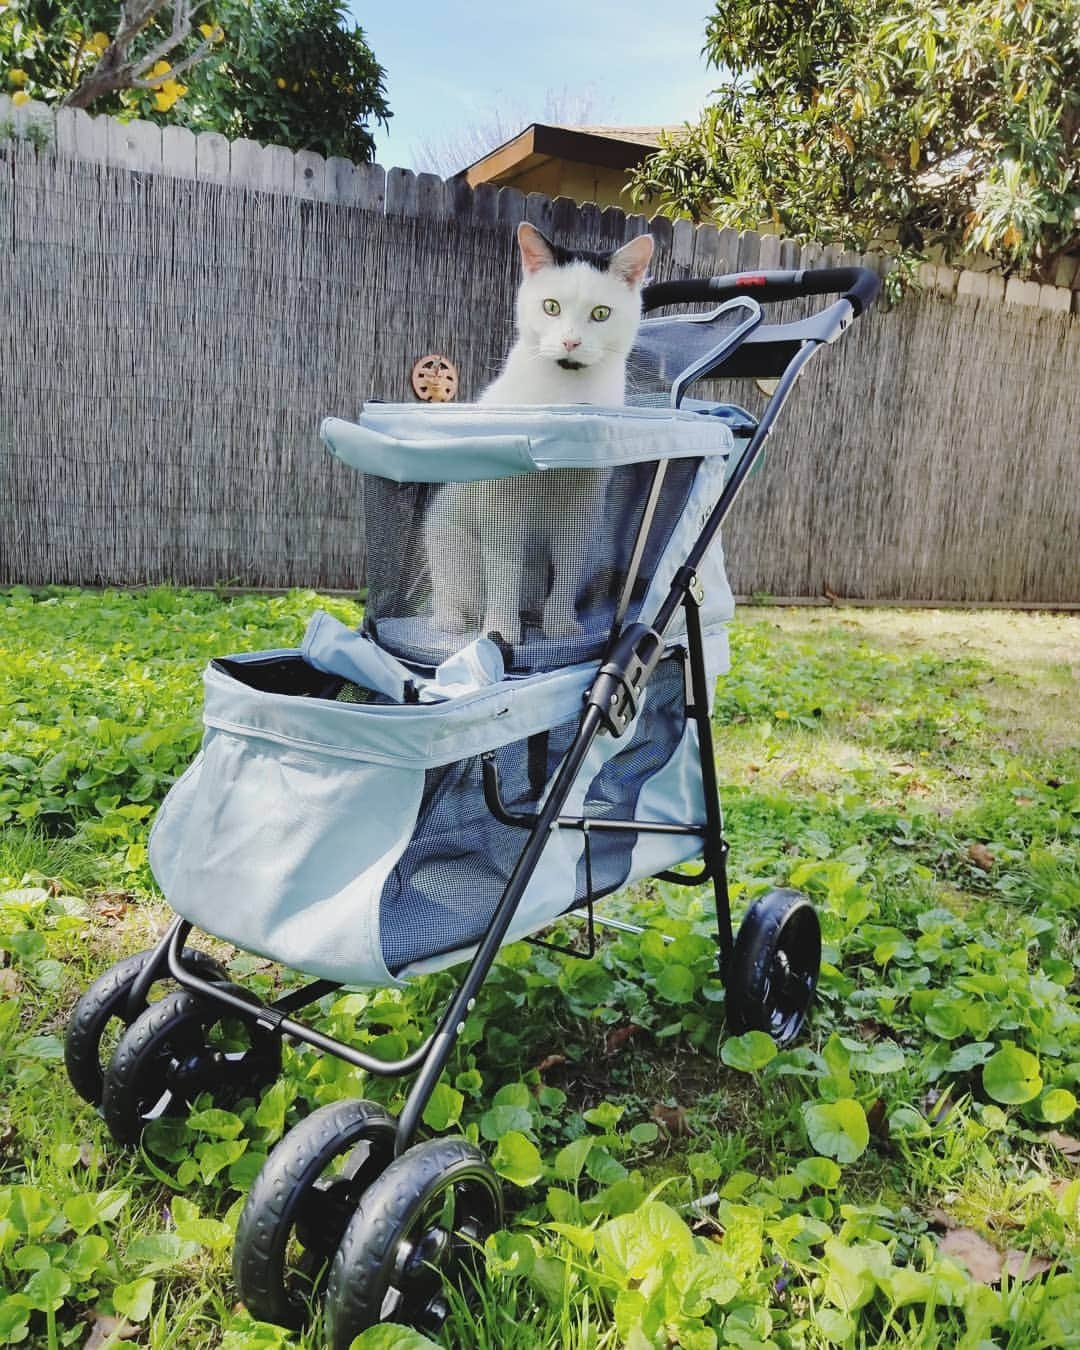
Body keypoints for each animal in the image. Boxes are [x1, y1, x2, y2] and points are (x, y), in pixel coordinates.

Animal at [429, 222, 650, 653]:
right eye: (551, 307)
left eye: (601, 313)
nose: (570, 342)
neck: (564, 393)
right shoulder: (502, 503)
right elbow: (504, 570)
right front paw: (500, 631)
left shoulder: (583, 505)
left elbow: (566, 570)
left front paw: (560, 626)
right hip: (446, 531)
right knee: (449, 592)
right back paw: (455, 621)